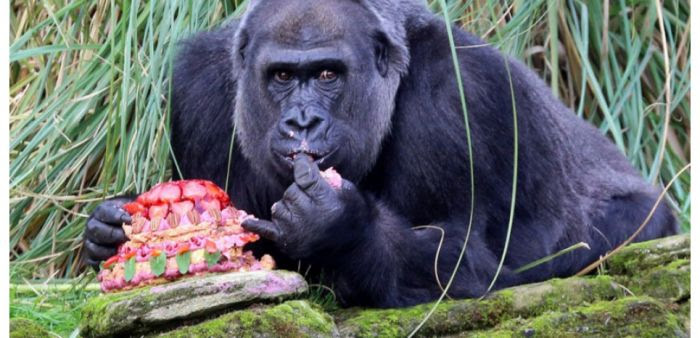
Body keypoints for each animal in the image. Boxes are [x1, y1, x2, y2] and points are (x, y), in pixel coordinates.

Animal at [83, 0, 680, 308]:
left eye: (328, 75)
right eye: (282, 77)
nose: (302, 122)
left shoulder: (463, 88)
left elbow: (463, 260)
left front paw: (340, 226)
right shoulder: (199, 84)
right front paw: (107, 231)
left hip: (647, 215)